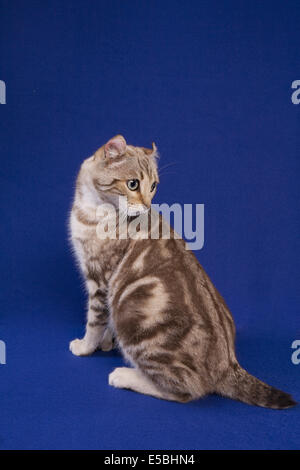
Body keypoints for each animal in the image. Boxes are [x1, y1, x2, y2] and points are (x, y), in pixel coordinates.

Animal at [69, 135, 296, 408]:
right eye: (133, 184)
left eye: (153, 186)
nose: (147, 206)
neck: (93, 210)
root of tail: (228, 364)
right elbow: (103, 323)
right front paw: (104, 342)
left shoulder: (100, 280)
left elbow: (94, 320)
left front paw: (85, 346)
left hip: (134, 319)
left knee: (187, 389)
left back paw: (125, 375)